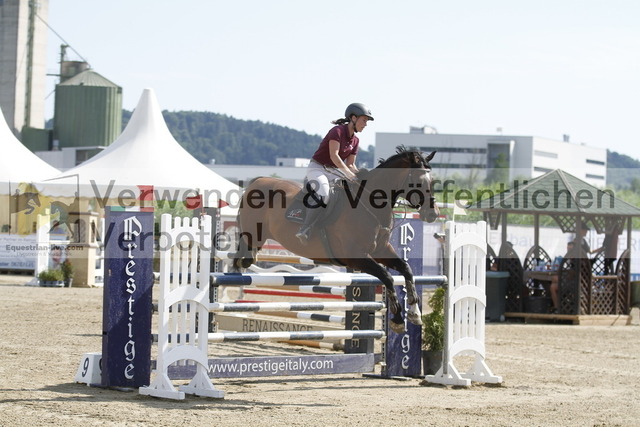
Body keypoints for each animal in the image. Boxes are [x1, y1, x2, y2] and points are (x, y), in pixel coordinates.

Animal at [232, 146, 440, 333]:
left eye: (433, 181)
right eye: (419, 181)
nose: (433, 214)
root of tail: (258, 181)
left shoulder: (381, 251)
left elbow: (406, 269)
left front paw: (415, 313)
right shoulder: (356, 257)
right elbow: (387, 277)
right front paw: (397, 319)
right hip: (253, 234)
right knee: (242, 252)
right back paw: (236, 271)